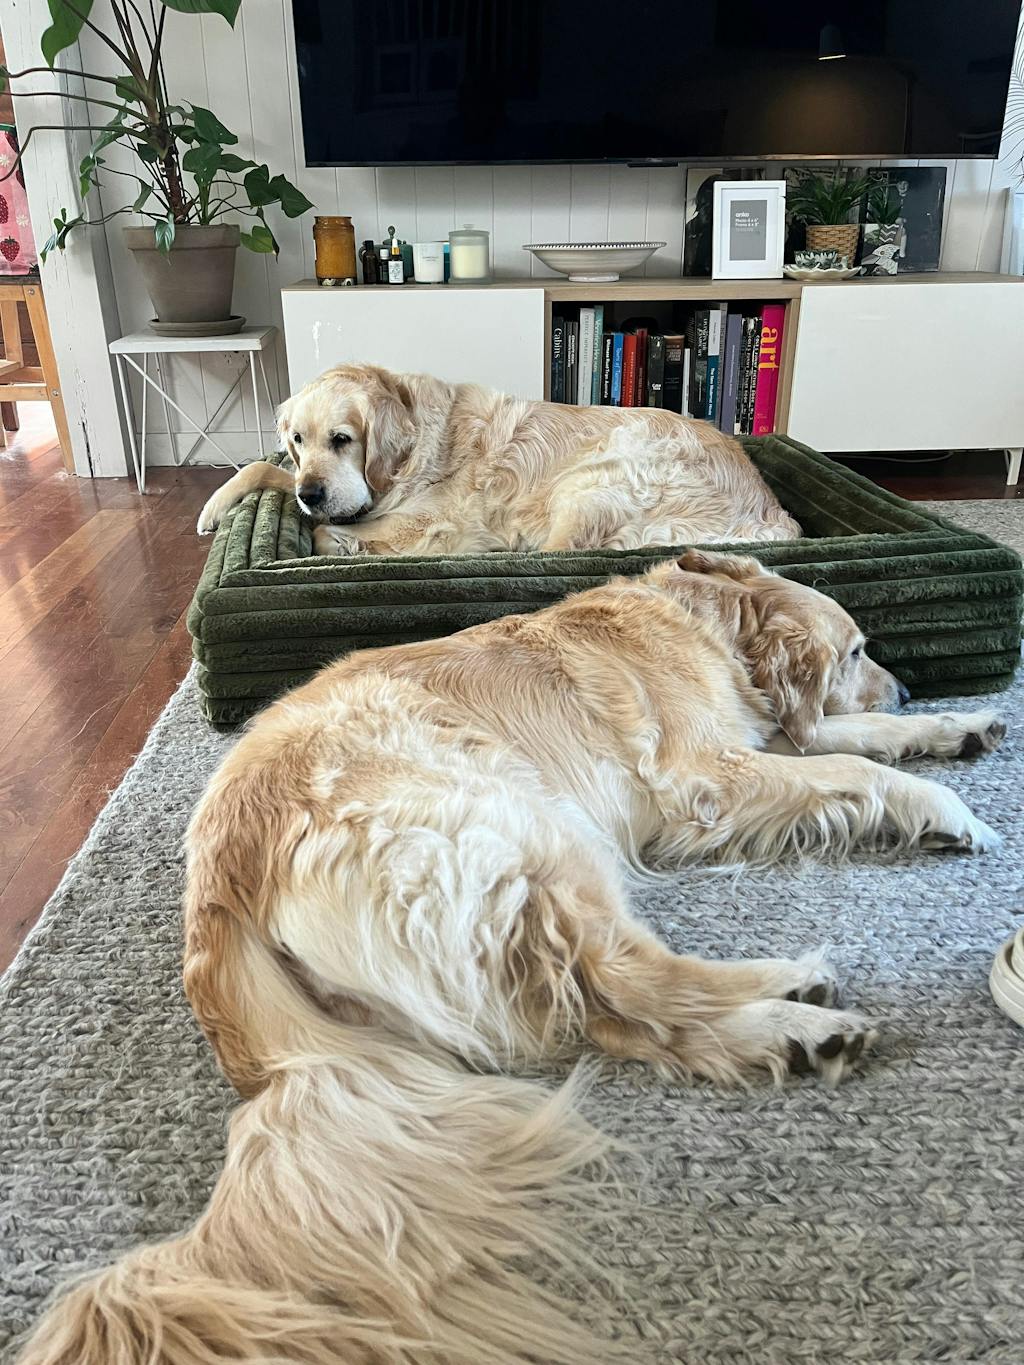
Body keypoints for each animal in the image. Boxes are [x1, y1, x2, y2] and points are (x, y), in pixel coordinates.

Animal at [21, 552, 1004, 1365]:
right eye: (858, 647)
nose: (906, 686)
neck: (710, 622)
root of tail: (218, 888)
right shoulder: (709, 777)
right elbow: (853, 768)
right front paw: (947, 805)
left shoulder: (759, 745)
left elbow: (847, 741)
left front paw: (957, 726)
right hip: (530, 825)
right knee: (630, 979)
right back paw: (792, 997)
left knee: (617, 1018)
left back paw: (788, 1037)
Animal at [196, 363, 801, 555]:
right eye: (297, 440)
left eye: (343, 439)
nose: (311, 494)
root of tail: (771, 511)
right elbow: (262, 468)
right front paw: (213, 508)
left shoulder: (427, 522)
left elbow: (337, 531)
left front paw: (338, 541)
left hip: (596, 480)